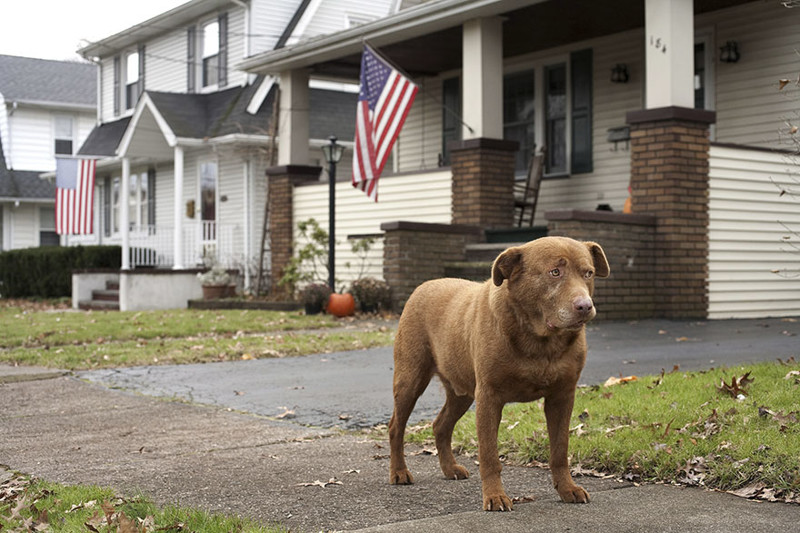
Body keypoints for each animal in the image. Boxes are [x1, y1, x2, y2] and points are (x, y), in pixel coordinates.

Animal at [388, 236, 608, 508]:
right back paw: (399, 472)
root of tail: (425, 285)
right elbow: (489, 455)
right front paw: (494, 496)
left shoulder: (563, 395)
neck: (540, 340)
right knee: (396, 426)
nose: (585, 306)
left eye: (588, 273)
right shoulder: (489, 396)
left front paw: (567, 488)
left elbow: (560, 449)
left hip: (462, 392)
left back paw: (450, 468)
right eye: (555, 272)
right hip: (410, 378)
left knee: (441, 425)